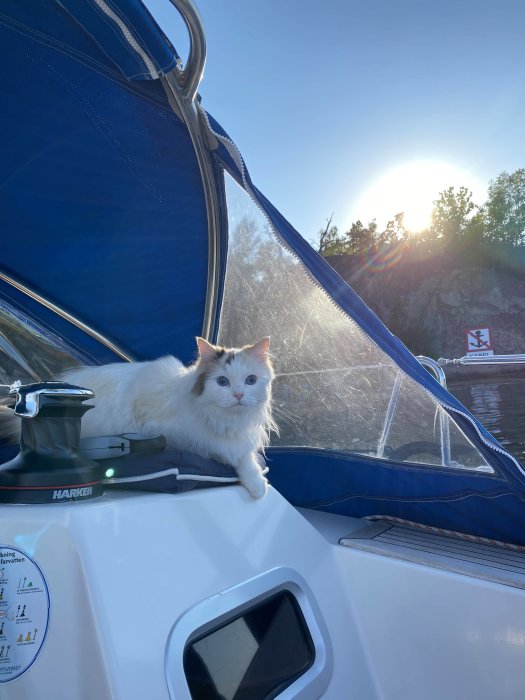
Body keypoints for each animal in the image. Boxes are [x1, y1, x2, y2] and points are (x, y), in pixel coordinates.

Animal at [0, 338, 276, 498]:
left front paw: (257, 485)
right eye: (222, 382)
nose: (239, 395)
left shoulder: (241, 444)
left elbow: (246, 460)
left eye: (250, 380)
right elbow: (215, 449)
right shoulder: (162, 429)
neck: (224, 421)